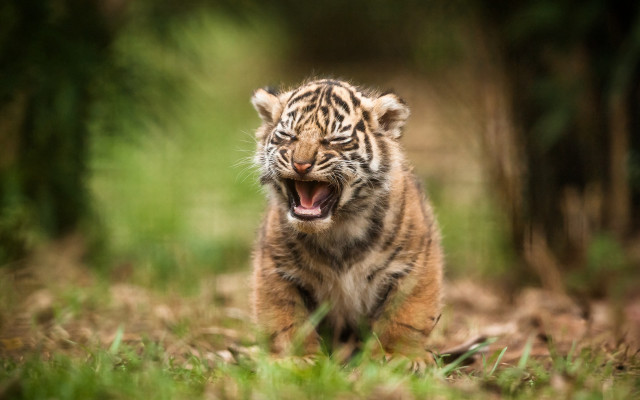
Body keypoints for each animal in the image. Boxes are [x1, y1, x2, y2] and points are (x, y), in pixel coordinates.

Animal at [250, 79, 443, 368]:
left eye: (335, 140)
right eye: (288, 136)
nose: (301, 164)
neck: (338, 227)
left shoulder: (414, 263)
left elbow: (406, 315)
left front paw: (398, 357)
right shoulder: (275, 268)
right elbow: (286, 319)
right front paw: (298, 358)